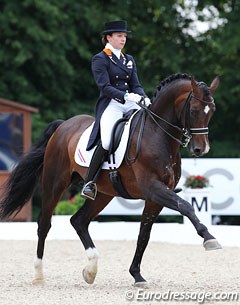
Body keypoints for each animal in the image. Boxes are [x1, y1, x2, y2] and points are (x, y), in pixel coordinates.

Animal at [0, 73, 221, 284]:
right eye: (194, 110)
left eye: (212, 110)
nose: (201, 149)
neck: (158, 134)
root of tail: (63, 125)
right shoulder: (153, 188)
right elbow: (186, 206)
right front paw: (209, 238)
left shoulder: (155, 197)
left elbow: (144, 234)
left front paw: (136, 275)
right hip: (54, 184)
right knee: (44, 224)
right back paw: (39, 275)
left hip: (103, 193)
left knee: (79, 220)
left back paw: (90, 270)